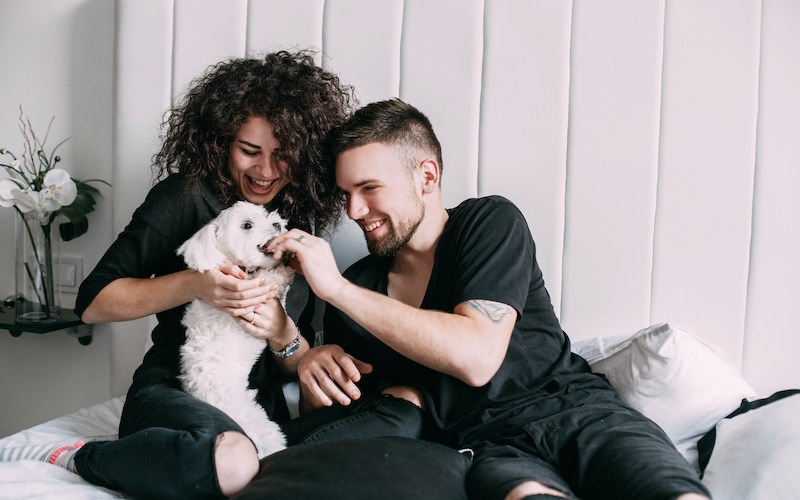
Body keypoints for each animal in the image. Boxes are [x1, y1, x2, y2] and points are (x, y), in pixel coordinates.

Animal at [177, 201, 296, 458]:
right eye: (247, 225)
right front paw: (285, 266)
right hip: (255, 422)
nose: (277, 223)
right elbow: (273, 278)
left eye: (265, 215)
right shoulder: (255, 295)